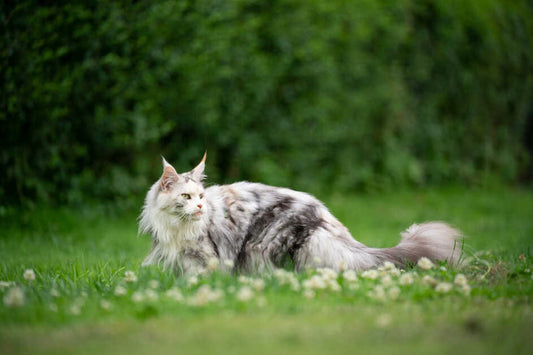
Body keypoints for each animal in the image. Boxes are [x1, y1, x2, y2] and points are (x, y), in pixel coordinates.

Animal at [138, 154, 462, 276]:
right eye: (186, 197)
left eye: (201, 197)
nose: (200, 208)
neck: (177, 228)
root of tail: (325, 217)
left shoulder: (205, 257)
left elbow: (201, 277)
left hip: (260, 247)